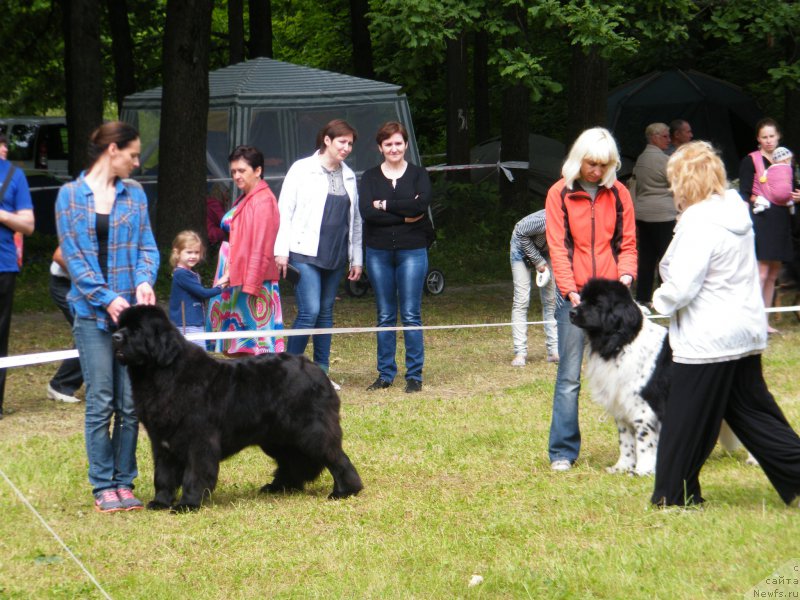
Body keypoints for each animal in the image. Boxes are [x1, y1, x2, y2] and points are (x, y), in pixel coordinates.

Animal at [111, 304, 362, 510]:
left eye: (137, 330)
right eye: (121, 326)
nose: (114, 337)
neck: (164, 374)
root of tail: (317, 371)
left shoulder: (199, 440)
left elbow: (194, 473)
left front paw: (188, 504)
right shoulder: (161, 441)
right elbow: (163, 474)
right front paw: (161, 502)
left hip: (311, 431)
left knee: (335, 457)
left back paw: (346, 490)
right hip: (278, 437)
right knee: (292, 460)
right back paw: (280, 487)